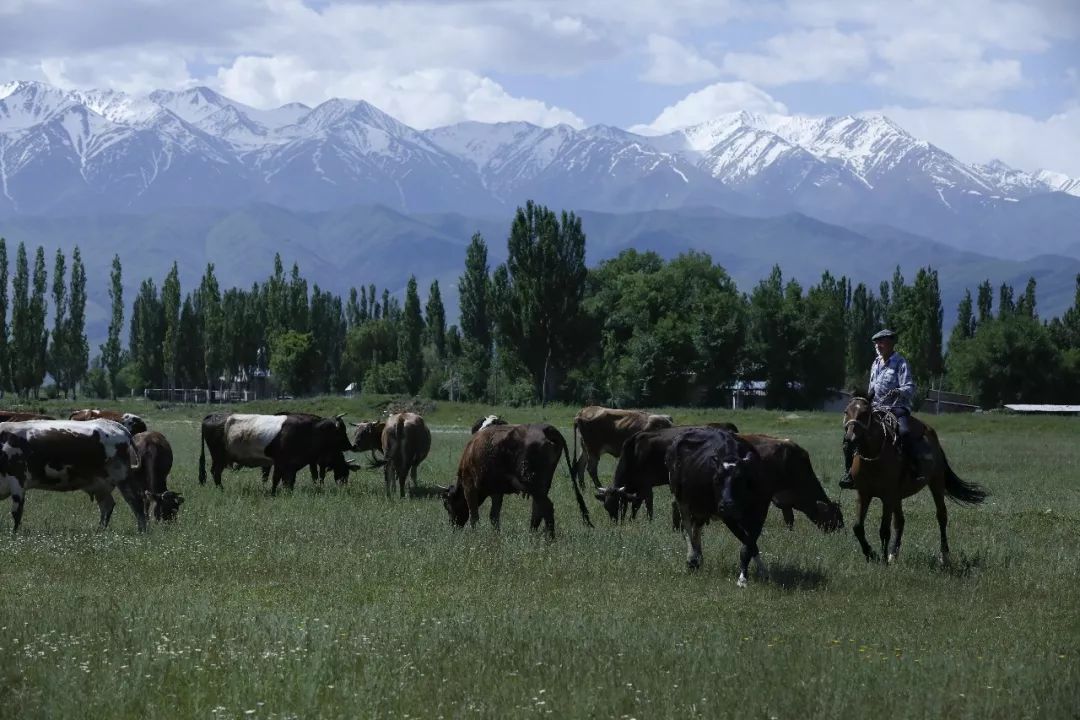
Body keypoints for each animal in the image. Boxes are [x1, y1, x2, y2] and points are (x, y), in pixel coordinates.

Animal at [0, 416, 147, 535]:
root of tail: (115, 425)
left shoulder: (17, 480)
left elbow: (16, 512)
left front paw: (14, 535)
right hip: (101, 484)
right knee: (107, 506)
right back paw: (99, 531)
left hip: (122, 476)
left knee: (136, 501)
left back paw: (142, 531)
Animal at [198, 414, 354, 492]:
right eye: (341, 431)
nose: (350, 445)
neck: (309, 431)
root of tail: (212, 416)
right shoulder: (280, 462)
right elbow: (276, 479)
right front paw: (273, 493)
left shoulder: (292, 465)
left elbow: (289, 480)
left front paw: (287, 492)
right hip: (219, 457)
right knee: (216, 472)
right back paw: (221, 489)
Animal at [436, 425, 591, 537]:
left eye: (447, 505)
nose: (453, 526)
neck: (470, 452)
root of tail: (546, 429)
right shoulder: (497, 491)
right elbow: (494, 515)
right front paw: (496, 534)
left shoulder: (470, 488)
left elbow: (474, 515)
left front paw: (475, 533)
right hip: (541, 487)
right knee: (538, 508)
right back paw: (532, 534)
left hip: (533, 485)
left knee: (546, 507)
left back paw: (549, 537)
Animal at [665, 427, 768, 587]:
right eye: (716, 480)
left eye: (739, 479)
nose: (726, 505)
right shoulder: (728, 517)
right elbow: (746, 543)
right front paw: (742, 579)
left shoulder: (761, 512)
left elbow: (750, 545)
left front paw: (761, 571)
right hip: (680, 497)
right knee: (686, 526)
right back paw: (692, 558)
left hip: (701, 506)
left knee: (696, 528)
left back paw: (698, 558)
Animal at [842, 397, 989, 565]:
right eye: (846, 411)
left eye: (865, 413)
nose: (849, 439)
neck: (873, 458)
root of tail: (932, 435)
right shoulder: (864, 494)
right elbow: (858, 527)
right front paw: (871, 554)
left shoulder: (887, 497)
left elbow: (884, 530)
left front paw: (882, 561)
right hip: (898, 496)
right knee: (900, 521)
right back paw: (893, 554)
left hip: (936, 482)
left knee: (941, 516)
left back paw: (944, 555)